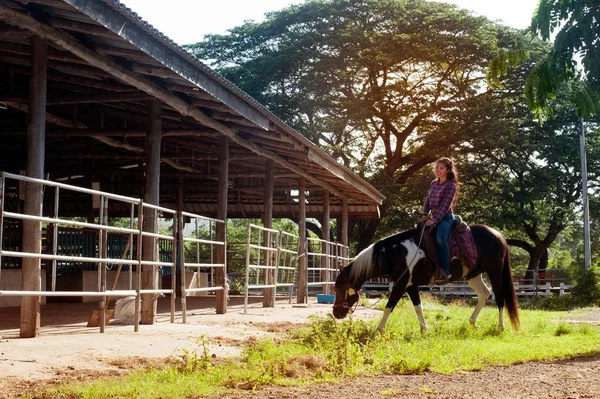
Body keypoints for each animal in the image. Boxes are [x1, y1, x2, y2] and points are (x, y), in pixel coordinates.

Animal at [332, 225, 520, 334]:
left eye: (341, 289)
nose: (336, 313)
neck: (396, 253)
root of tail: (499, 236)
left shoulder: (400, 285)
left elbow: (388, 307)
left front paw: (378, 330)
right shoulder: (410, 286)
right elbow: (418, 307)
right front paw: (424, 330)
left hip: (494, 272)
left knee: (499, 297)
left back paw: (501, 326)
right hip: (473, 275)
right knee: (484, 294)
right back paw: (472, 322)